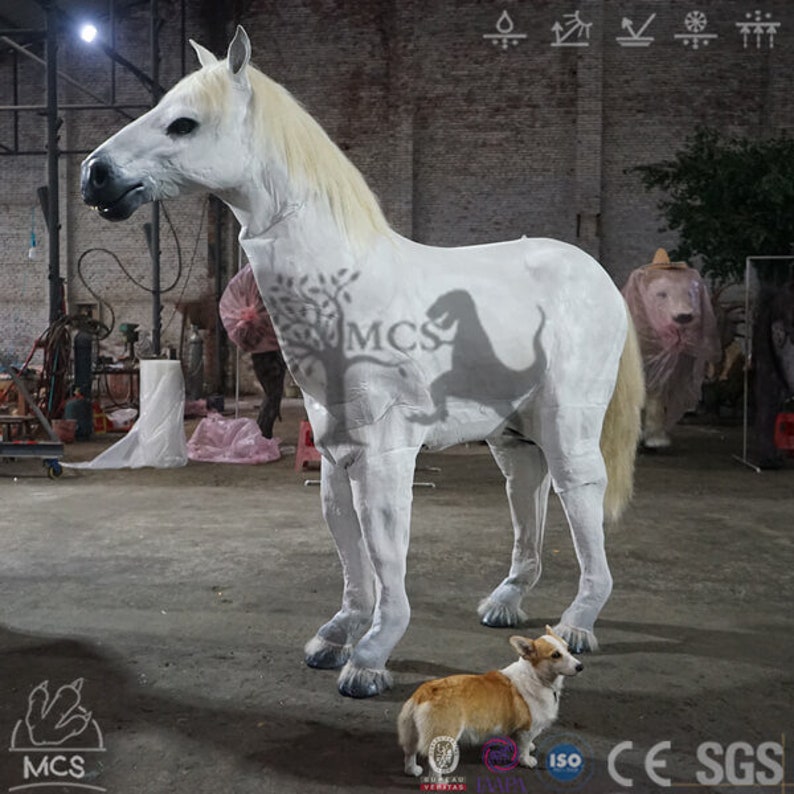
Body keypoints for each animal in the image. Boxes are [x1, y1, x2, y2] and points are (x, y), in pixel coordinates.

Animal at [80, 26, 644, 699]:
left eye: (184, 123)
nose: (95, 176)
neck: (350, 289)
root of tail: (597, 276)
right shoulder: (335, 454)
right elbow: (351, 551)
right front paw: (339, 634)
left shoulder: (385, 453)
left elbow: (385, 548)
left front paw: (372, 654)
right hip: (513, 432)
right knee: (526, 492)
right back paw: (506, 603)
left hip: (566, 425)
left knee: (580, 494)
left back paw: (579, 624)